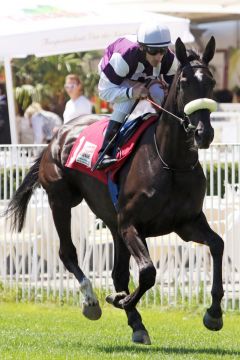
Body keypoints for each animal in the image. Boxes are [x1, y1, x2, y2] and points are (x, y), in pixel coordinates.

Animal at [6, 37, 223, 346]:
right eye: (184, 83)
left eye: (212, 81)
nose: (203, 133)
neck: (170, 162)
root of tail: (57, 135)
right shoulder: (131, 224)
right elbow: (147, 272)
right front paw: (119, 300)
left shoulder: (187, 223)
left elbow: (217, 245)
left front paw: (214, 313)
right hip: (61, 200)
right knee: (67, 253)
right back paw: (91, 302)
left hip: (111, 221)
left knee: (118, 273)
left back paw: (136, 323)